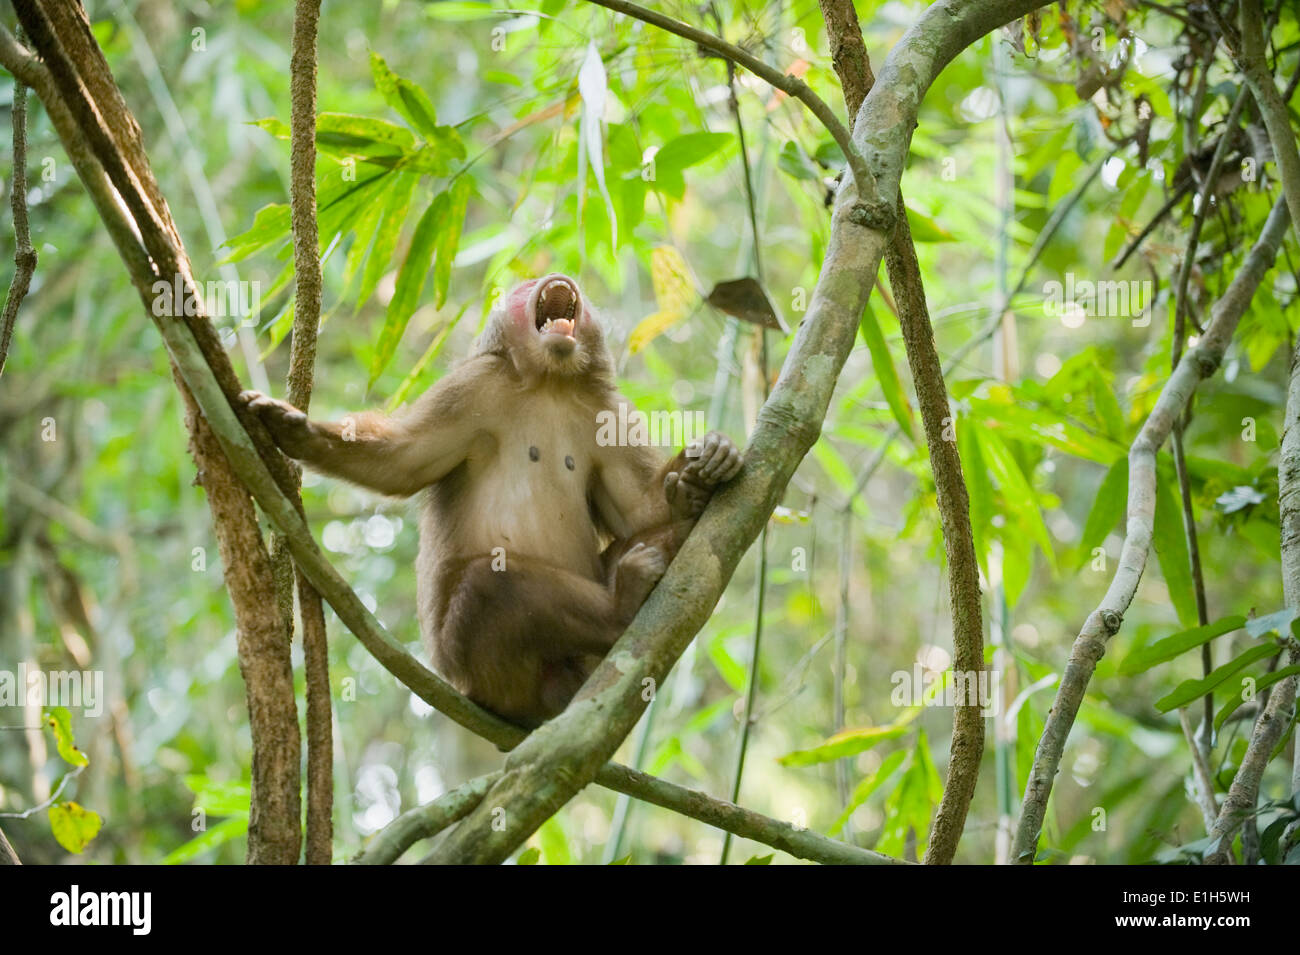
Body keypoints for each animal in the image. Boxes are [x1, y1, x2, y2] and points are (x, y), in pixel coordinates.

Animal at [243, 274, 743, 722]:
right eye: (524, 290)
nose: (557, 277)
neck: (550, 382)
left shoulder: (607, 410)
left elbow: (636, 511)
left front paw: (703, 467)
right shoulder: (474, 384)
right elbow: (403, 461)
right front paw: (297, 432)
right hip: (484, 672)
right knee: (488, 583)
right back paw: (622, 608)